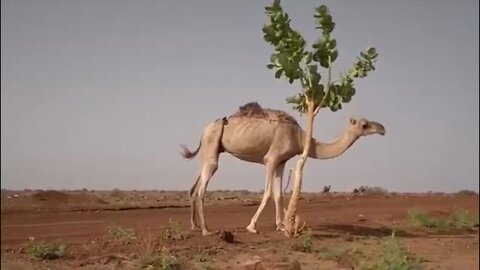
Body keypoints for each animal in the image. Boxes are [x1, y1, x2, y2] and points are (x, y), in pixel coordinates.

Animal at [180, 102, 386, 235]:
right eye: (364, 125)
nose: (383, 128)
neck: (300, 137)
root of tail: (204, 131)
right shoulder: (271, 159)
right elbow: (268, 193)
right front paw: (252, 226)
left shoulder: (281, 161)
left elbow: (278, 194)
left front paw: (280, 226)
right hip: (212, 144)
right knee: (203, 187)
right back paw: (206, 230)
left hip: (212, 149)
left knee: (194, 187)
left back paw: (194, 226)